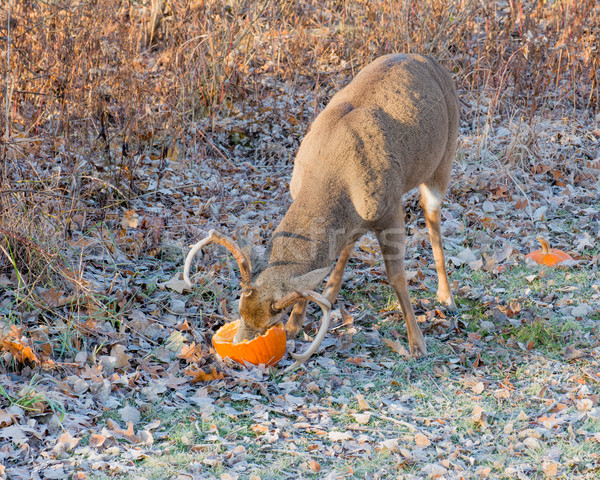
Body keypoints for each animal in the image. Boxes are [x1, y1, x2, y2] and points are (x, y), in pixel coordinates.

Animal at [185, 55, 458, 372]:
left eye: (272, 320)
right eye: (240, 310)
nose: (238, 349)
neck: (334, 174)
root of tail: (429, 60)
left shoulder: (390, 209)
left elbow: (397, 278)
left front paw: (417, 344)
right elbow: (314, 272)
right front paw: (296, 325)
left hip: (443, 161)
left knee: (433, 220)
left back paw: (447, 298)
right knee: (348, 243)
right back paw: (330, 292)